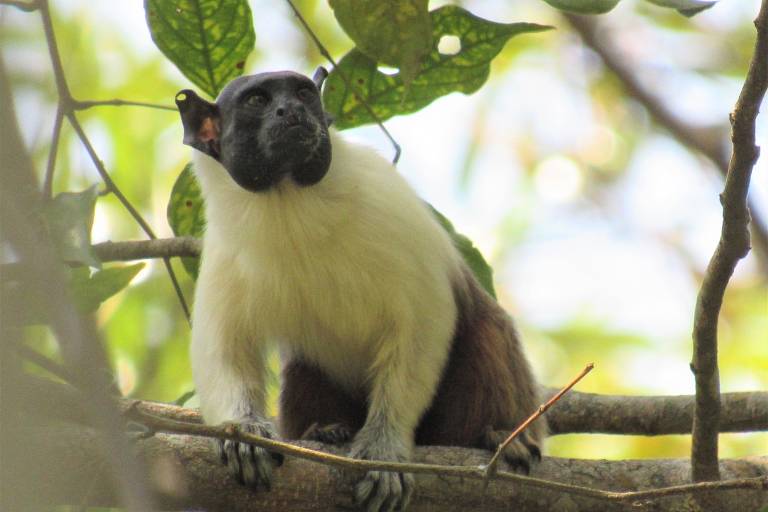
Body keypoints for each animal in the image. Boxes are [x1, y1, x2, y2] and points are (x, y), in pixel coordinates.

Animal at [176, 68, 544, 512]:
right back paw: (324, 431)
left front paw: (384, 450)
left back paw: (497, 437)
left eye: (303, 93)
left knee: (486, 326)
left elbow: (424, 321)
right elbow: (225, 349)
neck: (289, 200)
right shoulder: (223, 252)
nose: (292, 110)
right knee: (303, 366)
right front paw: (244, 434)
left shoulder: (390, 203)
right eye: (258, 101)